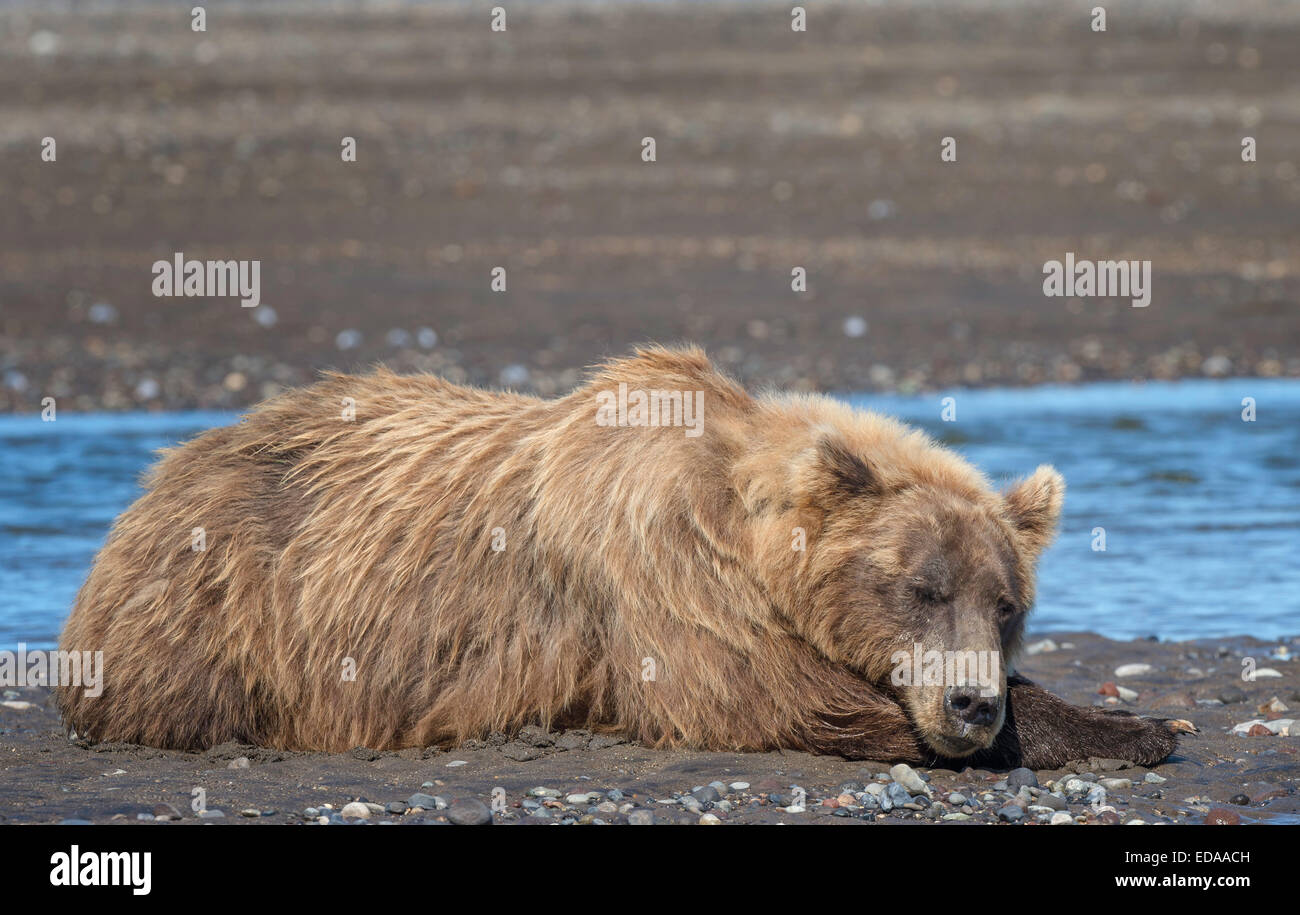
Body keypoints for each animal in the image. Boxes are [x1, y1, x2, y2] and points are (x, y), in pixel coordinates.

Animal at [55, 345, 1185, 769]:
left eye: (1007, 603)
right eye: (919, 586)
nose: (970, 703)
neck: (738, 533)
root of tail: (161, 471)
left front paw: (1133, 723)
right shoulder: (662, 587)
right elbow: (777, 698)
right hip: (224, 601)